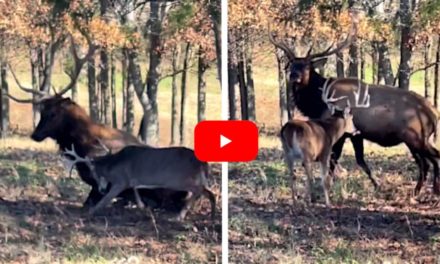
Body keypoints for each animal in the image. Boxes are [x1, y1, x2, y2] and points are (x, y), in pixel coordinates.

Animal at [268, 14, 440, 196]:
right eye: (291, 64)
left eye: (307, 66)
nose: (294, 75)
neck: (319, 102)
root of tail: (434, 114)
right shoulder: (356, 134)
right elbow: (360, 160)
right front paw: (376, 185)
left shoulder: (342, 131)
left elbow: (334, 160)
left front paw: (329, 186)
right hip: (415, 139)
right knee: (426, 161)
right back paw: (422, 189)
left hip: (415, 137)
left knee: (432, 158)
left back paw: (429, 189)